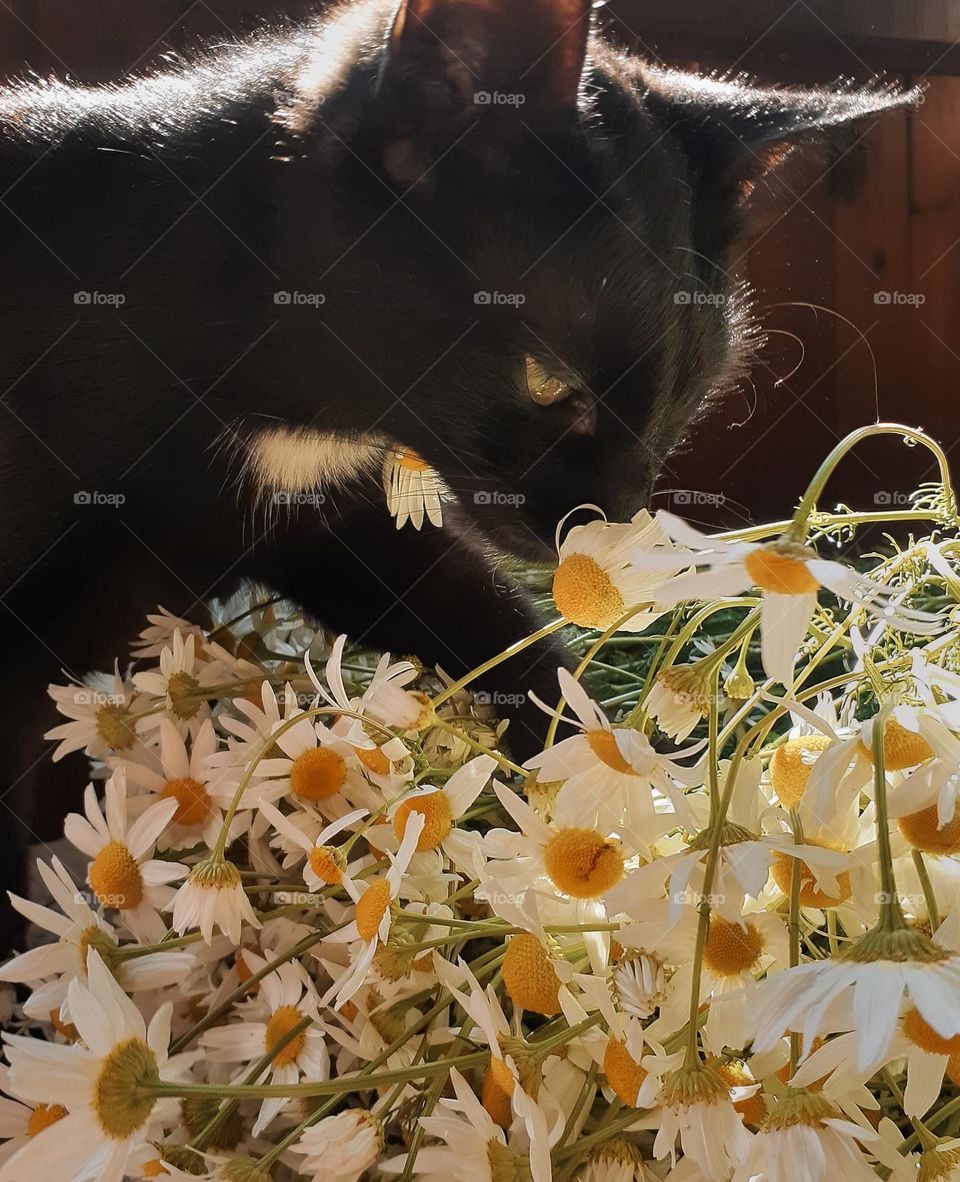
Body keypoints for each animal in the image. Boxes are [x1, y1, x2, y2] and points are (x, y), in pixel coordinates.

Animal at [0, 0, 912, 945]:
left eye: (689, 393)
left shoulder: (340, 529)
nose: (610, 522)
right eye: (549, 381)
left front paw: (631, 799)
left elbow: (510, 636)